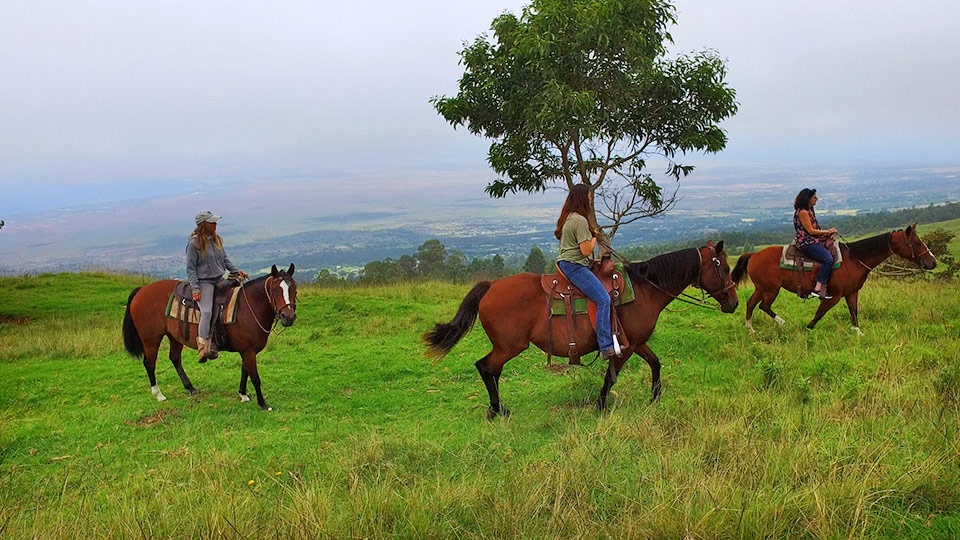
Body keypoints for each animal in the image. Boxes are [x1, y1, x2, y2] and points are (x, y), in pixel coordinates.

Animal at [122, 264, 298, 412]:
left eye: (294, 289)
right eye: (275, 290)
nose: (288, 317)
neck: (248, 308)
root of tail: (141, 290)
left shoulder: (247, 351)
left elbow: (245, 372)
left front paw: (243, 394)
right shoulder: (248, 351)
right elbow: (254, 377)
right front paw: (263, 404)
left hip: (175, 337)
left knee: (175, 358)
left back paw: (190, 388)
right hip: (151, 339)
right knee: (149, 363)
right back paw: (158, 394)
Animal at [424, 243, 740, 420]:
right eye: (724, 268)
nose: (734, 302)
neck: (645, 289)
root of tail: (490, 286)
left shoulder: (637, 342)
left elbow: (656, 363)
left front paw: (655, 397)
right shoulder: (624, 347)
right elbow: (610, 378)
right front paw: (600, 406)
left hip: (506, 347)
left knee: (493, 370)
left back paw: (498, 408)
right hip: (510, 346)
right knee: (485, 367)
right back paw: (495, 410)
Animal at [732, 223, 932, 334]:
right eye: (916, 243)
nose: (933, 262)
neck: (854, 259)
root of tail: (754, 255)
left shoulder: (851, 293)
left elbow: (854, 312)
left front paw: (858, 334)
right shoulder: (834, 296)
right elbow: (819, 314)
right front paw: (807, 330)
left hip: (761, 288)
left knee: (751, 303)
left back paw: (750, 329)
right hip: (771, 289)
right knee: (763, 306)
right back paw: (781, 323)